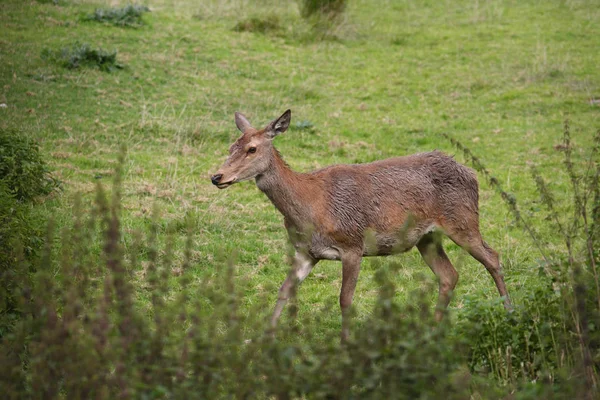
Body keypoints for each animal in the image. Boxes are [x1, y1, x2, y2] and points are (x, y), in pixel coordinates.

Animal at [211, 109, 510, 340]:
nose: (217, 176)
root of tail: (471, 173)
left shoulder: (352, 245)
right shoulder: (306, 252)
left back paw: (509, 311)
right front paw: (263, 337)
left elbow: (345, 299)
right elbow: (284, 289)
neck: (311, 209)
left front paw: (345, 342)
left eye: (252, 148)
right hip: (427, 238)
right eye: (230, 148)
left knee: (492, 257)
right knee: (449, 275)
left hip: (463, 221)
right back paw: (431, 330)